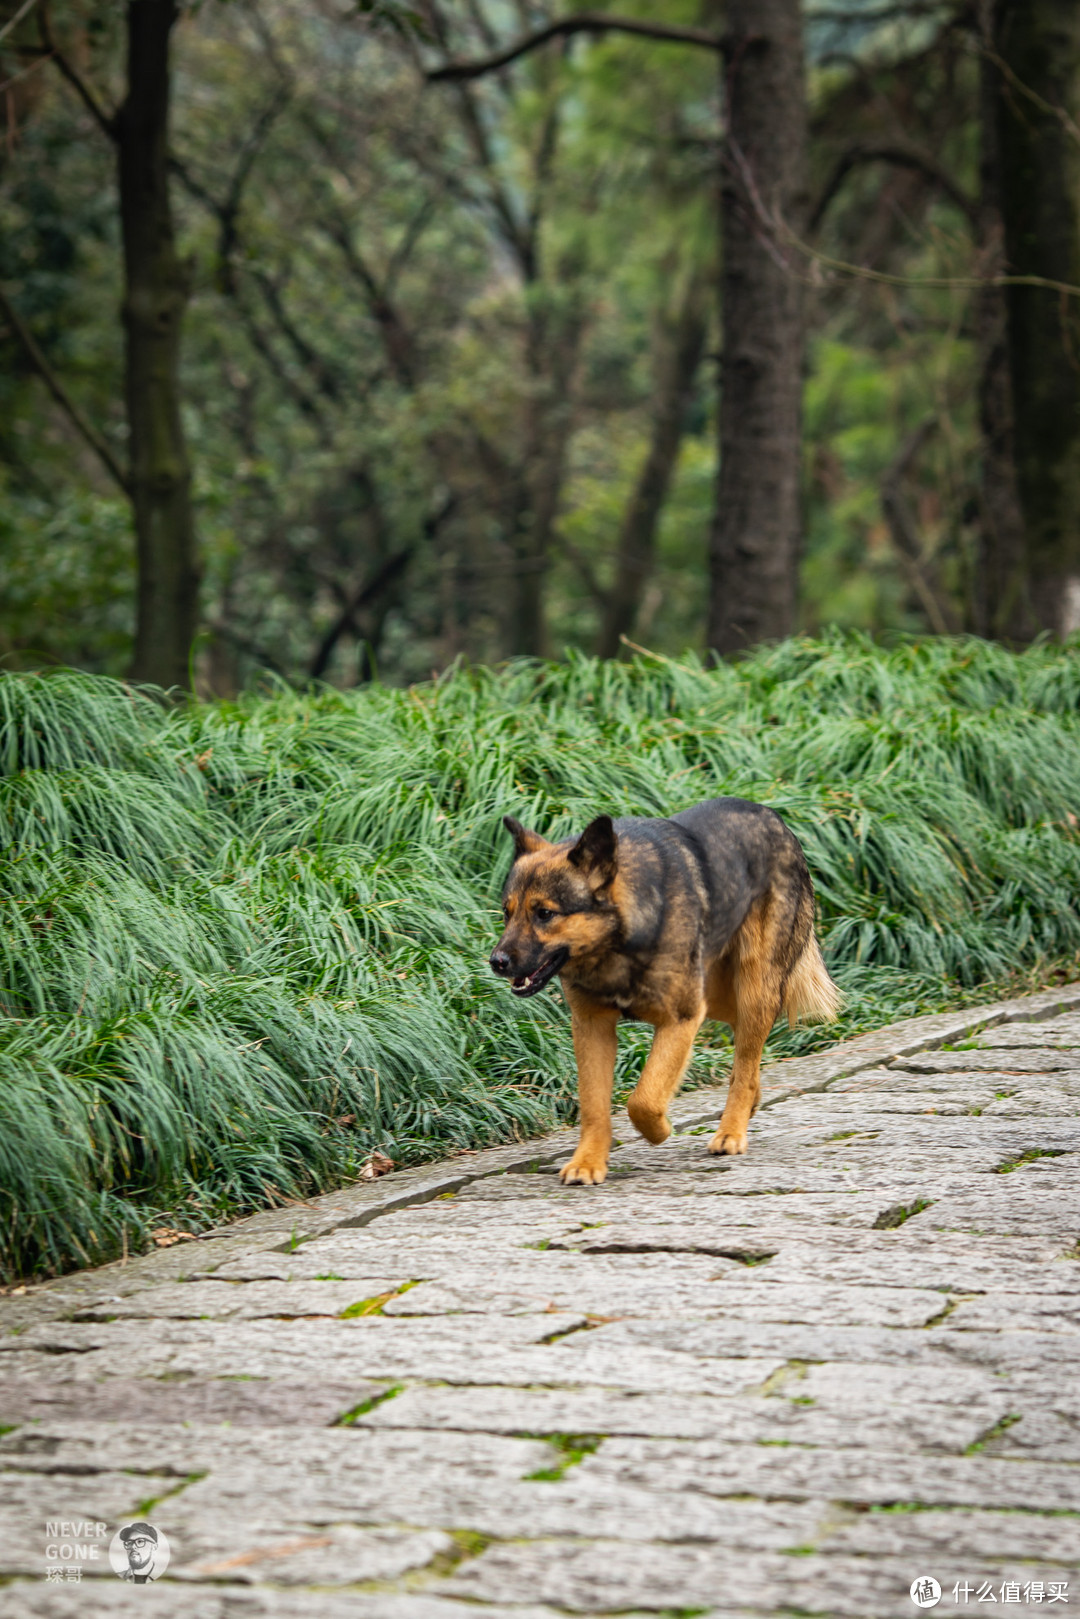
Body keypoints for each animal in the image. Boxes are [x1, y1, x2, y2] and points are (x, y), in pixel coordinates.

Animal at [492, 803, 841, 1185]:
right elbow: (594, 1105)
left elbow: (643, 1100)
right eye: (507, 913)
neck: (620, 943)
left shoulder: (681, 1018)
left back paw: (731, 1131)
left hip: (753, 990)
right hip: (719, 996)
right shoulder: (592, 1028)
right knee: (746, 1059)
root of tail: (771, 816)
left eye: (544, 913)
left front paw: (659, 1130)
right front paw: (588, 1161)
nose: (497, 962)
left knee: (747, 1062)